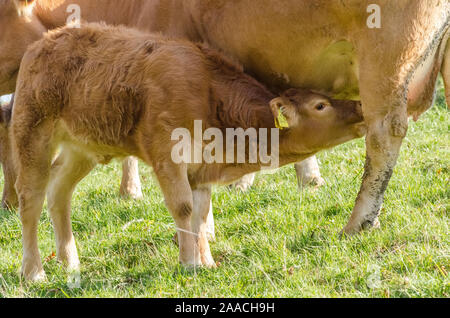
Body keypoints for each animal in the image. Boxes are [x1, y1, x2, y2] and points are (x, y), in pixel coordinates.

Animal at [10, 23, 368, 280]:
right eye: (320, 105)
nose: (360, 108)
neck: (209, 94)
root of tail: (43, 42)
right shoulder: (167, 155)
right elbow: (183, 207)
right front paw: (188, 263)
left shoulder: (200, 170)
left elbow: (200, 212)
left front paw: (206, 261)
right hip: (32, 134)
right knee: (30, 200)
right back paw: (34, 272)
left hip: (81, 148)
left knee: (59, 192)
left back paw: (70, 262)